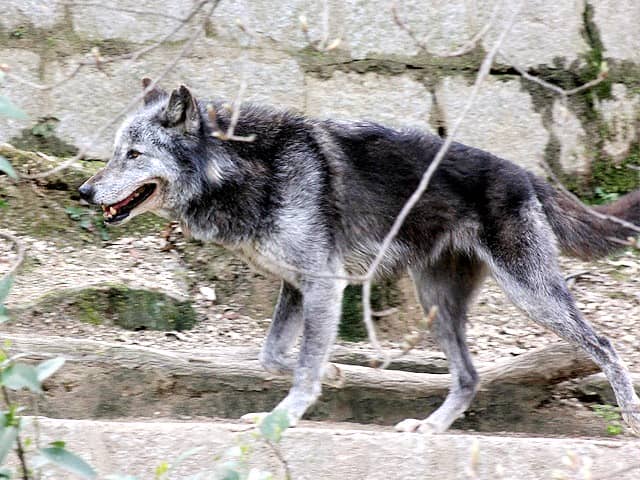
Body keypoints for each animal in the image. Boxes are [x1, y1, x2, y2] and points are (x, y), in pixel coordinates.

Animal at [79, 79, 640, 436]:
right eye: (116, 152)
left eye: (133, 155)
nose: (84, 192)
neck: (245, 169)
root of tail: (525, 173)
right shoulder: (298, 287)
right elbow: (274, 356)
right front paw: (334, 375)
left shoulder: (324, 285)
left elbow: (300, 364)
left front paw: (284, 415)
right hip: (438, 306)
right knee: (470, 377)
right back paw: (429, 428)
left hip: (530, 296)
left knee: (606, 344)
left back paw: (630, 420)